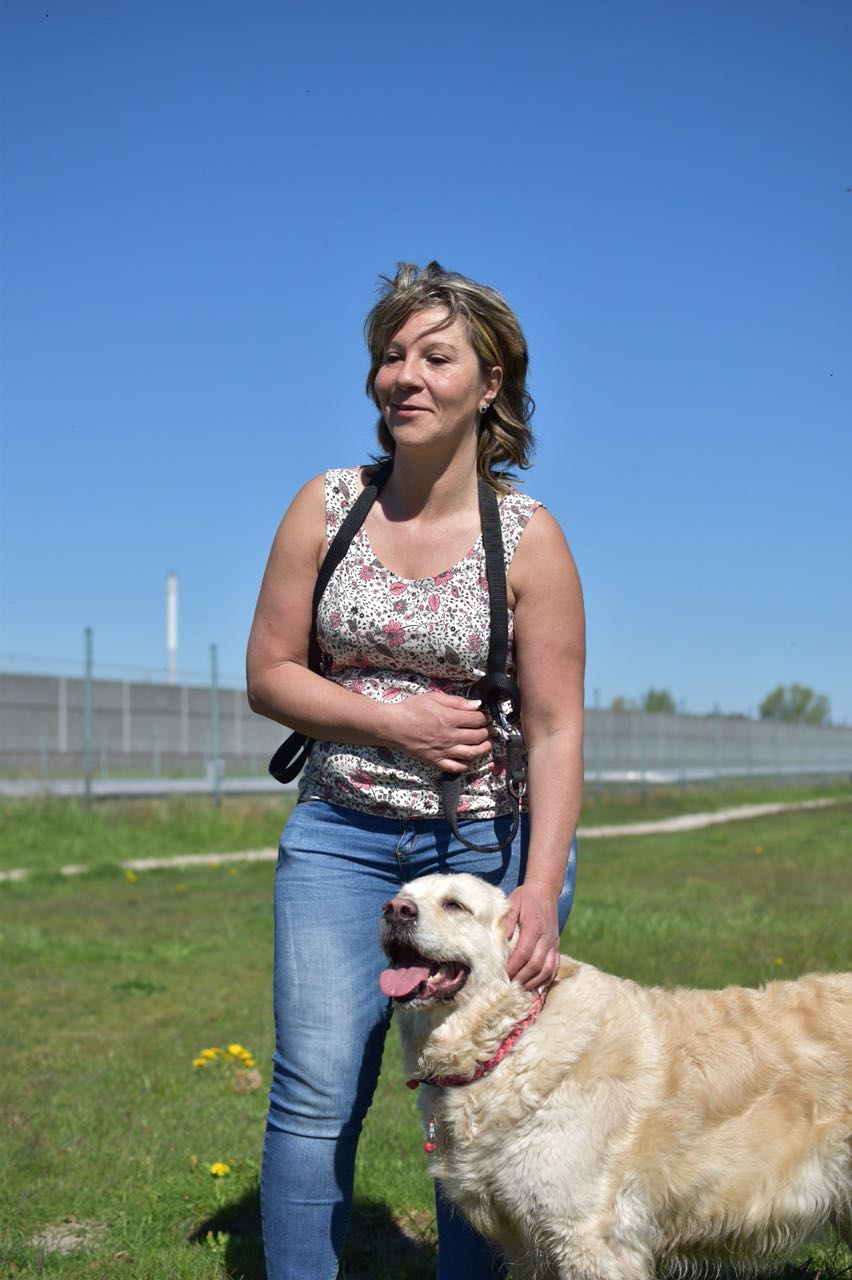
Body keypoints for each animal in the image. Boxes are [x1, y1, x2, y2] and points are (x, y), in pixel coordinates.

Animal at [379, 873, 852, 1280]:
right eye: (402, 896)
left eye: (454, 905)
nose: (394, 911)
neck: (508, 1042)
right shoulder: (525, 1243)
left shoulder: (588, 1235)